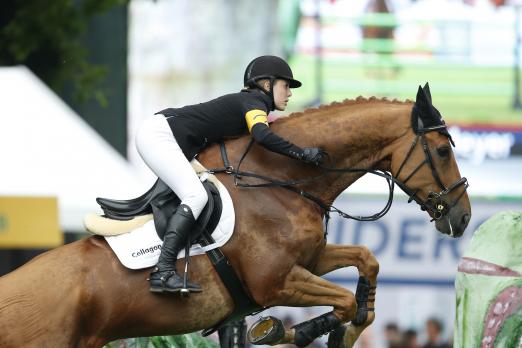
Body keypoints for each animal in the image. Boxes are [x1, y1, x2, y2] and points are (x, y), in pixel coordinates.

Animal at [0, 83, 470, 346]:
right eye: (442, 151)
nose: (463, 218)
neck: (280, 180)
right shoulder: (274, 282)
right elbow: (339, 301)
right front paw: (286, 332)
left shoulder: (308, 260)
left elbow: (366, 263)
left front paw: (349, 327)